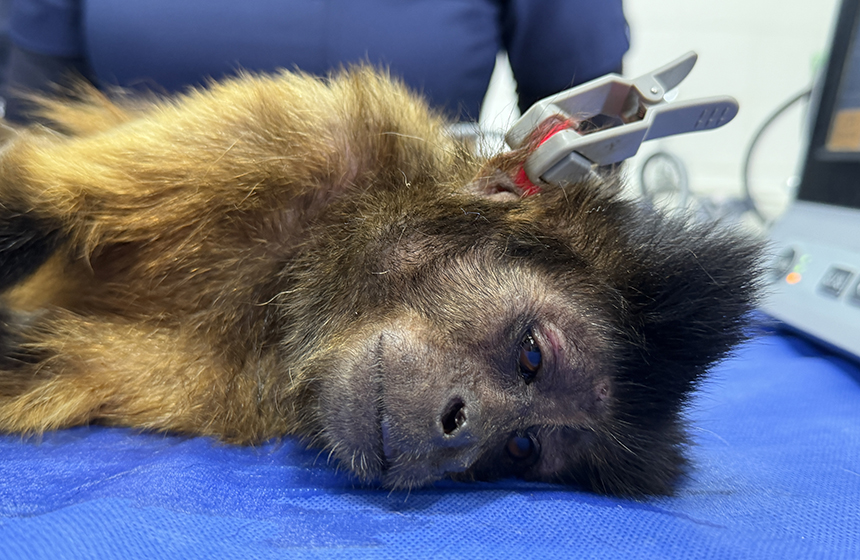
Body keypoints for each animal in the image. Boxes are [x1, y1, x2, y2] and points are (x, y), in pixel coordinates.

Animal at [0, 67, 762, 496]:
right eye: (532, 356)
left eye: (520, 448)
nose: (458, 434)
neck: (292, 276)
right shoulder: (301, 138)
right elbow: (38, 198)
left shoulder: (212, 383)